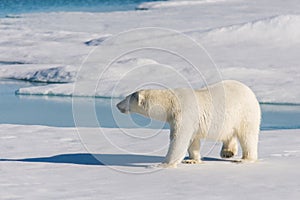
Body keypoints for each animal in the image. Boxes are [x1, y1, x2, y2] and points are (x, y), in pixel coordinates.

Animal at [116, 79, 262, 167]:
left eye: (126, 98)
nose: (117, 105)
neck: (171, 101)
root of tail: (250, 91)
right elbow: (193, 140)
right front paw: (191, 160)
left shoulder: (183, 113)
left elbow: (179, 138)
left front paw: (163, 164)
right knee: (228, 133)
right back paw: (227, 152)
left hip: (245, 113)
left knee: (247, 135)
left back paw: (244, 158)